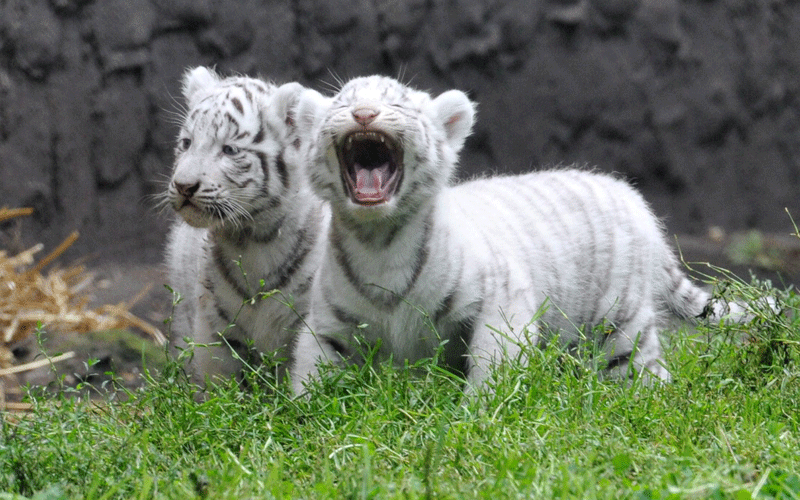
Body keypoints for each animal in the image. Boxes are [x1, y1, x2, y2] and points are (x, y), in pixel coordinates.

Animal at [162, 66, 330, 385]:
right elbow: (221, 383)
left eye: (229, 150)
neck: (255, 238)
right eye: (187, 143)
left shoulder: (309, 315)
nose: (184, 186)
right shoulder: (216, 326)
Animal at [289, 75, 748, 395]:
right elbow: (310, 371)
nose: (364, 114)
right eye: (344, 102)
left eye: (396, 101)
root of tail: (630, 196)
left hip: (621, 322)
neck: (379, 240)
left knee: (646, 370)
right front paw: (303, 420)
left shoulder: (500, 300)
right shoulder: (328, 324)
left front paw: (476, 416)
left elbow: (491, 364)